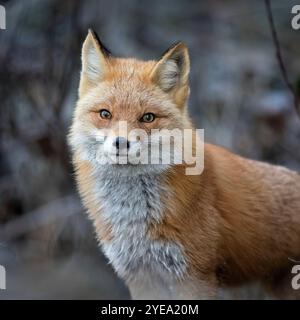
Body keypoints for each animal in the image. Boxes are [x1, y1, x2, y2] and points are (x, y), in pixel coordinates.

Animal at [69, 30, 300, 300]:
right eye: (105, 114)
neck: (134, 218)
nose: (120, 143)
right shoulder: (141, 276)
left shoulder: (194, 275)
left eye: (147, 117)